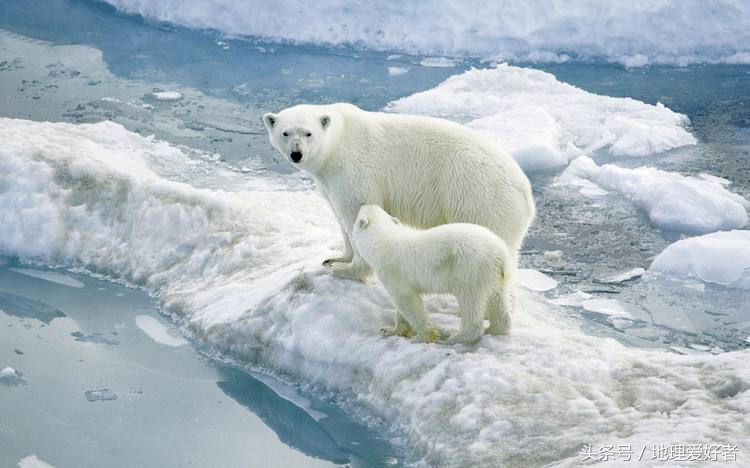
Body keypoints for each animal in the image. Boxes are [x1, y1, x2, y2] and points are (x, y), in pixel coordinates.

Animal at [356, 205, 516, 344]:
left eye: (360, 211)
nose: (363, 203)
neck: (383, 239)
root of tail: (501, 253)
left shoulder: (393, 271)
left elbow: (407, 300)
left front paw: (422, 337)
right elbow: (402, 306)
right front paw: (389, 330)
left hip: (471, 269)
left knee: (470, 300)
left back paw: (455, 338)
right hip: (494, 275)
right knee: (497, 298)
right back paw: (494, 328)